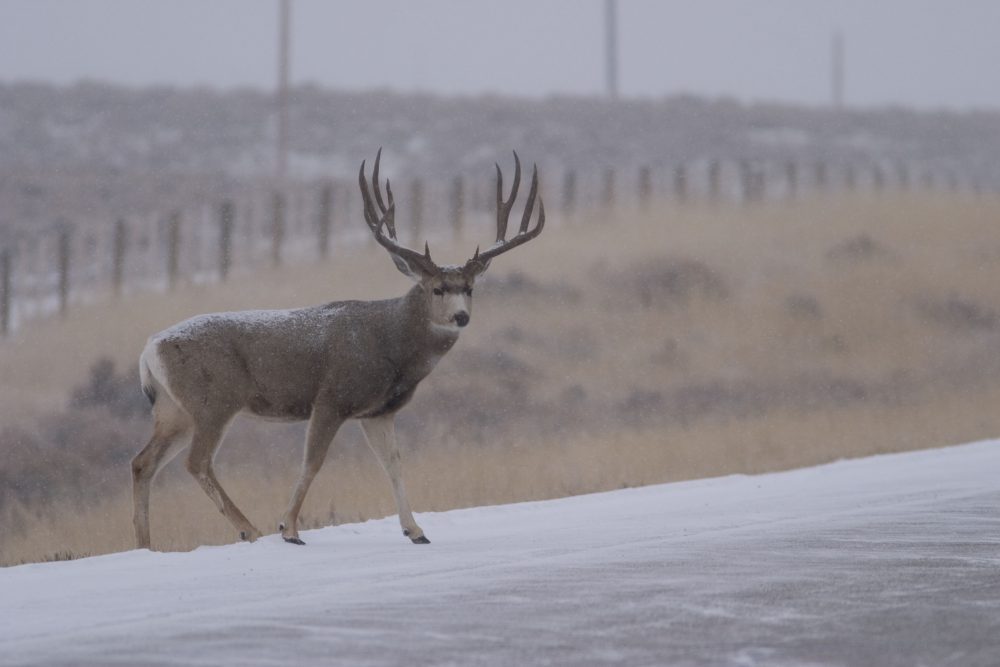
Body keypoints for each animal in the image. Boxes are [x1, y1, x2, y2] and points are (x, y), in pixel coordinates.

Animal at [132, 150, 544, 548]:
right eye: (437, 288)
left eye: (469, 288)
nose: (461, 316)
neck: (390, 342)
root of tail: (150, 349)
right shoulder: (332, 396)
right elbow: (313, 461)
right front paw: (289, 529)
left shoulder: (377, 411)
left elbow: (393, 464)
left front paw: (416, 530)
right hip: (214, 399)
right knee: (197, 462)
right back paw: (250, 529)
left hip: (174, 410)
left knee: (143, 462)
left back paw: (146, 545)